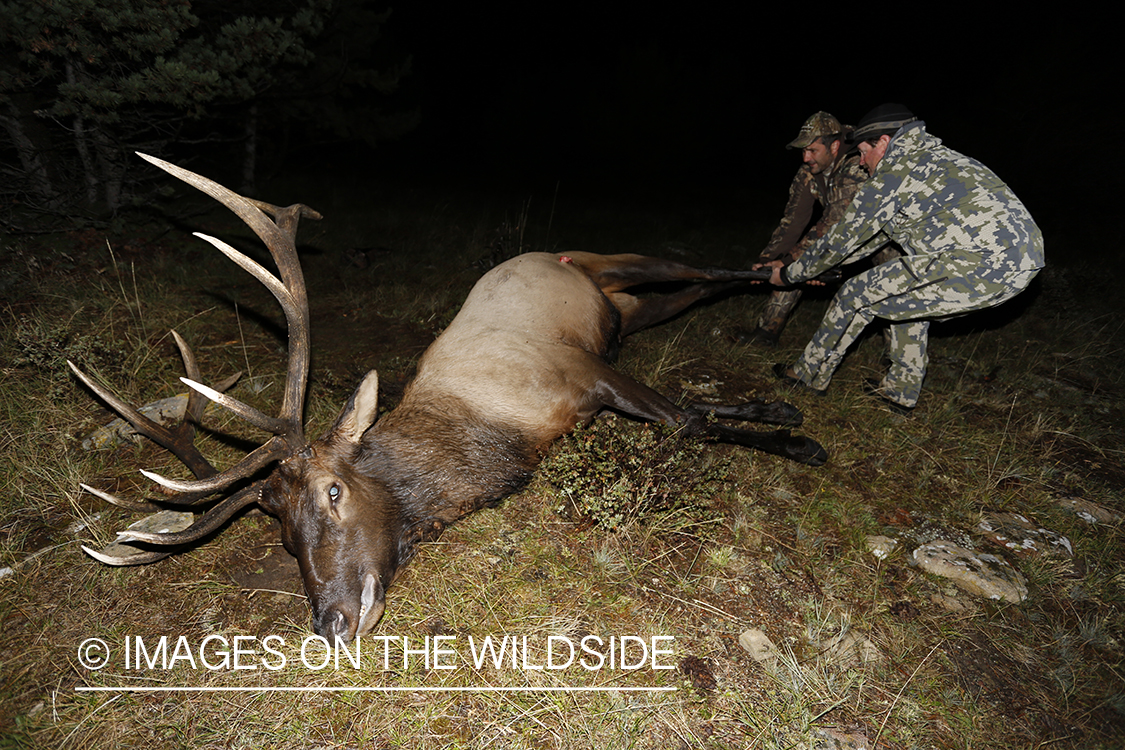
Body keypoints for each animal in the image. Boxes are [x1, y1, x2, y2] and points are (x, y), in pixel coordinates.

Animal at [72, 155, 828, 643]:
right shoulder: (592, 377)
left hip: (609, 265)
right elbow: (692, 414)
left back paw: (787, 272)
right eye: (282, 534)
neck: (498, 435)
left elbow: (686, 421)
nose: (329, 624)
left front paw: (800, 443)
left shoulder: (581, 368)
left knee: (701, 270)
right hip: (625, 309)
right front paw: (778, 416)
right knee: (689, 294)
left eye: (333, 493)